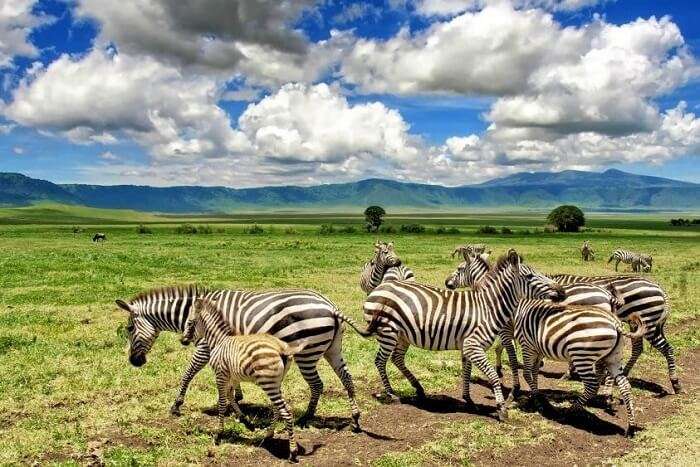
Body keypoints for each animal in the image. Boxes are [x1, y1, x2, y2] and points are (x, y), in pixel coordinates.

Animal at [116, 284, 372, 430]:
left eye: (128, 328)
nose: (134, 362)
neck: (193, 312)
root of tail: (330, 306)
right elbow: (231, 378)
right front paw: (237, 398)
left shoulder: (204, 347)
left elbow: (188, 374)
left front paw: (176, 405)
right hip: (332, 349)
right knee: (347, 379)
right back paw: (355, 419)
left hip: (307, 353)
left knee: (317, 384)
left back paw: (306, 418)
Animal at [180, 300, 304, 464]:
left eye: (189, 322)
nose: (182, 341)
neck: (219, 341)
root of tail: (281, 348)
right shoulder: (232, 377)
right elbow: (231, 397)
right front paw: (246, 422)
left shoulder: (220, 375)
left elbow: (222, 403)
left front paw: (218, 435)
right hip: (276, 382)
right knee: (277, 408)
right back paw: (268, 435)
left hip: (268, 383)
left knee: (286, 411)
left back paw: (293, 452)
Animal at [360, 249, 564, 420]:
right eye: (530, 276)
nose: (561, 291)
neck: (488, 307)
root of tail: (379, 288)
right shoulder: (473, 345)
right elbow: (493, 375)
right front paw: (501, 408)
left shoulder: (468, 346)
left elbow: (466, 371)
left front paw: (468, 399)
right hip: (388, 333)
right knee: (380, 361)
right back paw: (391, 393)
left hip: (402, 335)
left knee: (397, 358)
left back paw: (418, 388)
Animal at [516, 300, 644, 438]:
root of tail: (615, 322)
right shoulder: (536, 347)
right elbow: (534, 371)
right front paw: (537, 396)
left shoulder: (528, 345)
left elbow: (527, 373)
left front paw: (537, 399)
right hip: (613, 358)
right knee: (625, 386)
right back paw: (631, 428)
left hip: (582, 355)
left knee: (592, 385)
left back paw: (569, 413)